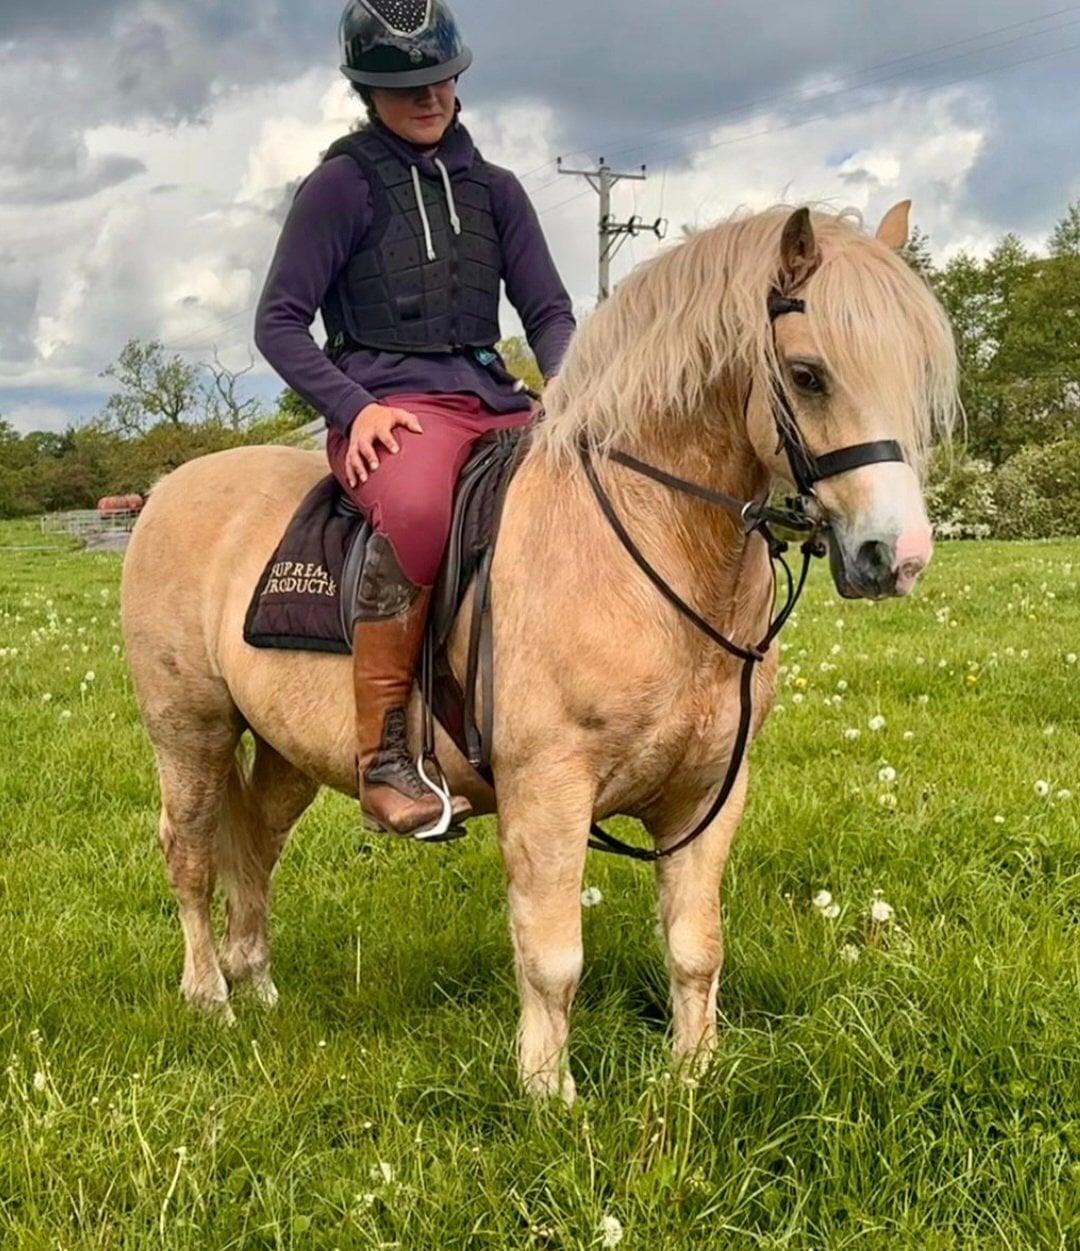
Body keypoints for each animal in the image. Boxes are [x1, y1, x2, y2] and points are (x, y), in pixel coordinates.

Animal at [121, 202, 957, 1100]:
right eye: (808, 374)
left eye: (915, 372)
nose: (897, 555)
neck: (648, 545)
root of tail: (170, 488)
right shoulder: (548, 793)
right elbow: (553, 959)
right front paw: (548, 1095)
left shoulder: (707, 795)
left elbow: (696, 950)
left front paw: (691, 1078)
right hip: (191, 731)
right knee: (190, 851)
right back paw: (211, 996)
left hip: (286, 752)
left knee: (255, 842)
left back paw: (258, 983)